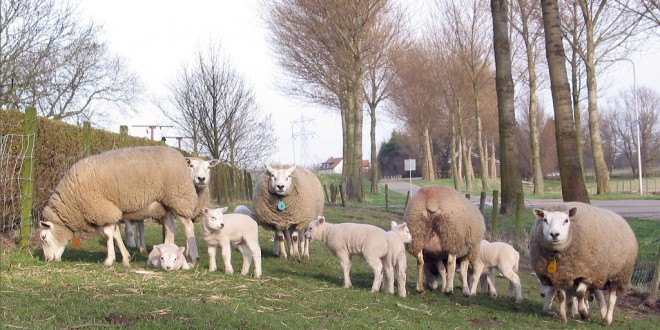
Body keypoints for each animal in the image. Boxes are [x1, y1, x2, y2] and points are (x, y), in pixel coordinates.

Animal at [38, 146, 199, 266]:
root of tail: (181, 158)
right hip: (166, 205)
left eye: (44, 237)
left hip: (179, 197)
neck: (73, 200)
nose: (47, 260)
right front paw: (125, 258)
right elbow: (115, 234)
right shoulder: (110, 211)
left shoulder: (102, 209)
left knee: (188, 226)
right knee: (170, 228)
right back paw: (164, 253)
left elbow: (108, 234)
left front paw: (109, 260)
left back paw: (193, 258)